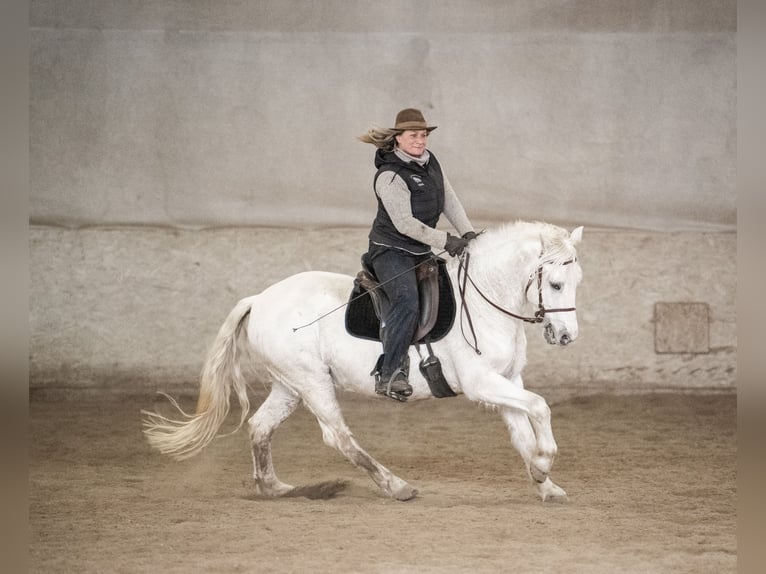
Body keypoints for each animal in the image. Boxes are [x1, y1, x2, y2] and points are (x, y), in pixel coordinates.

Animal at [142, 221, 583, 502]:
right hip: (312, 381)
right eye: (555, 283)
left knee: (260, 427)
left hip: (289, 384)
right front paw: (545, 464)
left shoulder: (507, 379)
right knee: (337, 436)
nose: (566, 337)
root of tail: (260, 298)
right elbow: (540, 408)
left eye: (577, 282)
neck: (483, 299)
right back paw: (396, 486)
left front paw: (544, 482)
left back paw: (275, 489)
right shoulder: (482, 383)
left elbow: (523, 431)